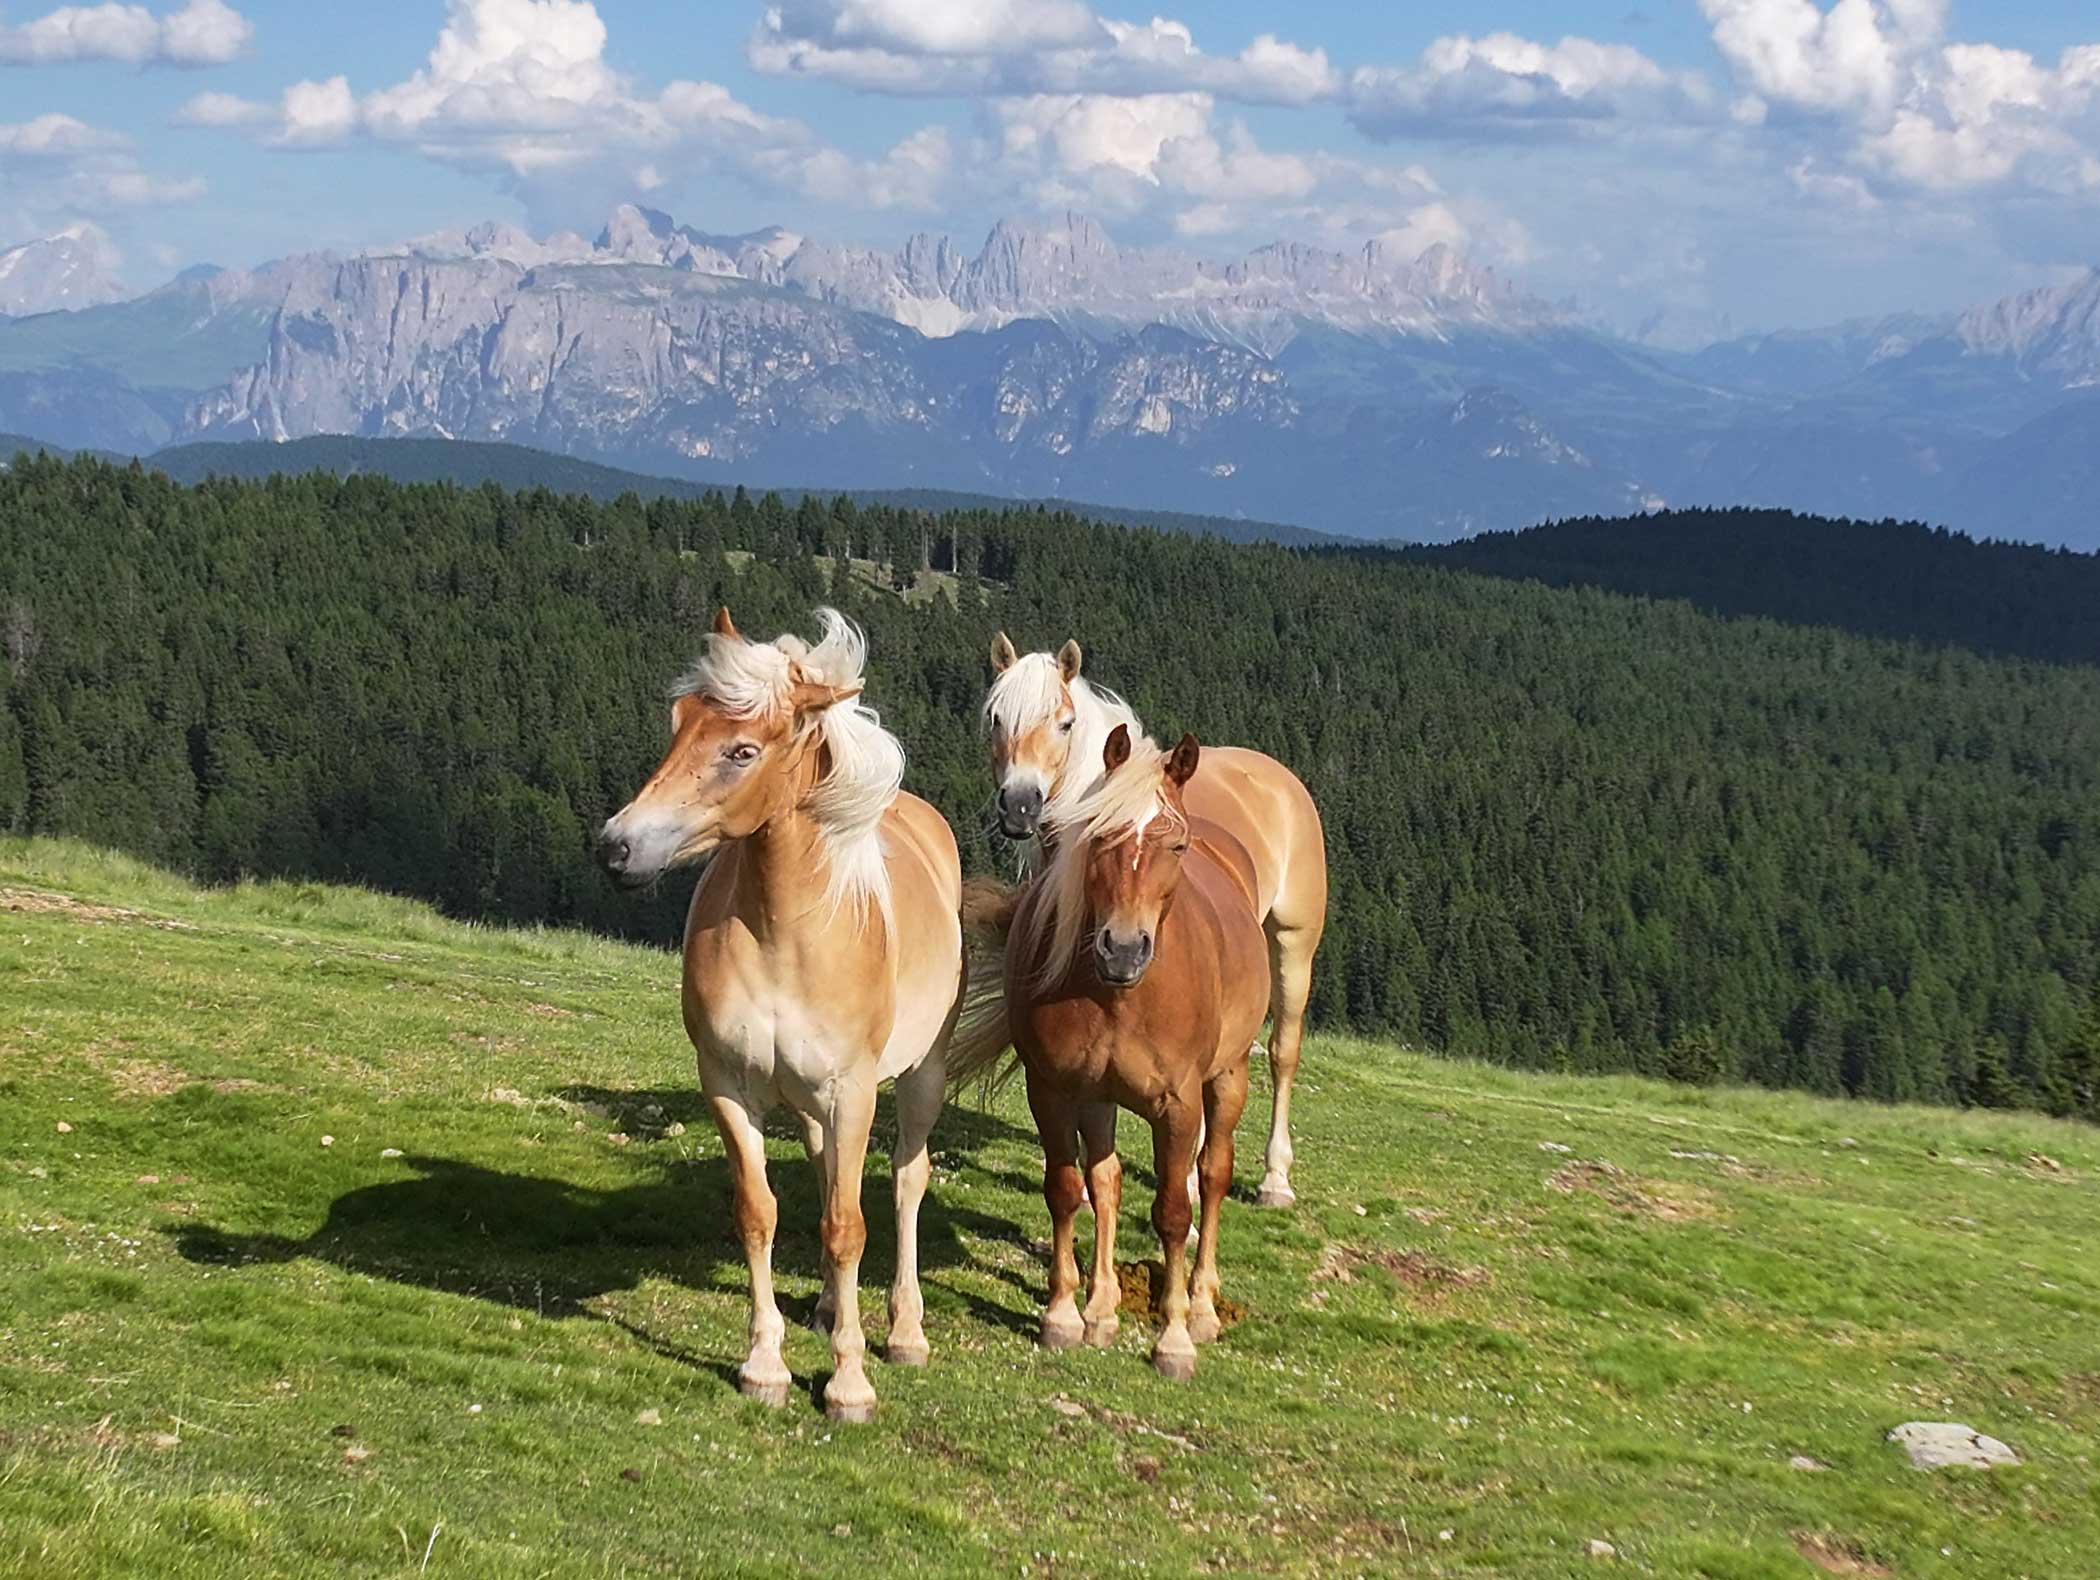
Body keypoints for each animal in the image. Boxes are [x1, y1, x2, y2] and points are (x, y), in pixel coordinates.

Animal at [597, 606, 964, 1422]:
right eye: (678, 723)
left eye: (742, 750)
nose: (618, 848)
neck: (785, 932)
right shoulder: (730, 1086)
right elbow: (760, 1213)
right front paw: (764, 1364)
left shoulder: (853, 1093)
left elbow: (848, 1225)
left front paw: (849, 1382)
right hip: (804, 1103)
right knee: (828, 1170)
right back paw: (830, 1309)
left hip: (918, 1078)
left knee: (905, 1180)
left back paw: (905, 1330)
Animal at [953, 723, 1271, 1380]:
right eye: (1099, 836)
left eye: (1175, 845)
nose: (1123, 949)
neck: (1120, 996)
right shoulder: (1052, 1090)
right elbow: (1067, 1189)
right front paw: (1062, 1316)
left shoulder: (1179, 1107)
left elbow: (1174, 1212)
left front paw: (1173, 1339)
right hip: (1099, 1098)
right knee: (1107, 1181)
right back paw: (1101, 1307)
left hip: (1228, 1078)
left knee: (1214, 1175)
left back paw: (1203, 1306)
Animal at [983, 633, 1327, 1207]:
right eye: (994, 717)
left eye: (1065, 722)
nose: (1020, 805)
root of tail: (1275, 776)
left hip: (1294, 943)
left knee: (1283, 1052)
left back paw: (1275, 1179)